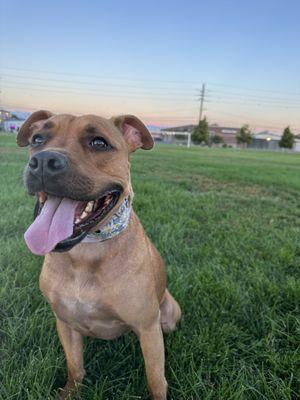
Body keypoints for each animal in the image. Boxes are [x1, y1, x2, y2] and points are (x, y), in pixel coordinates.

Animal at [17, 111, 182, 400]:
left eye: (99, 143)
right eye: (37, 139)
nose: (44, 161)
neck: (86, 252)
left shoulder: (148, 327)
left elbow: (155, 379)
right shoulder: (65, 322)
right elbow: (75, 366)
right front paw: (70, 392)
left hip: (168, 316)